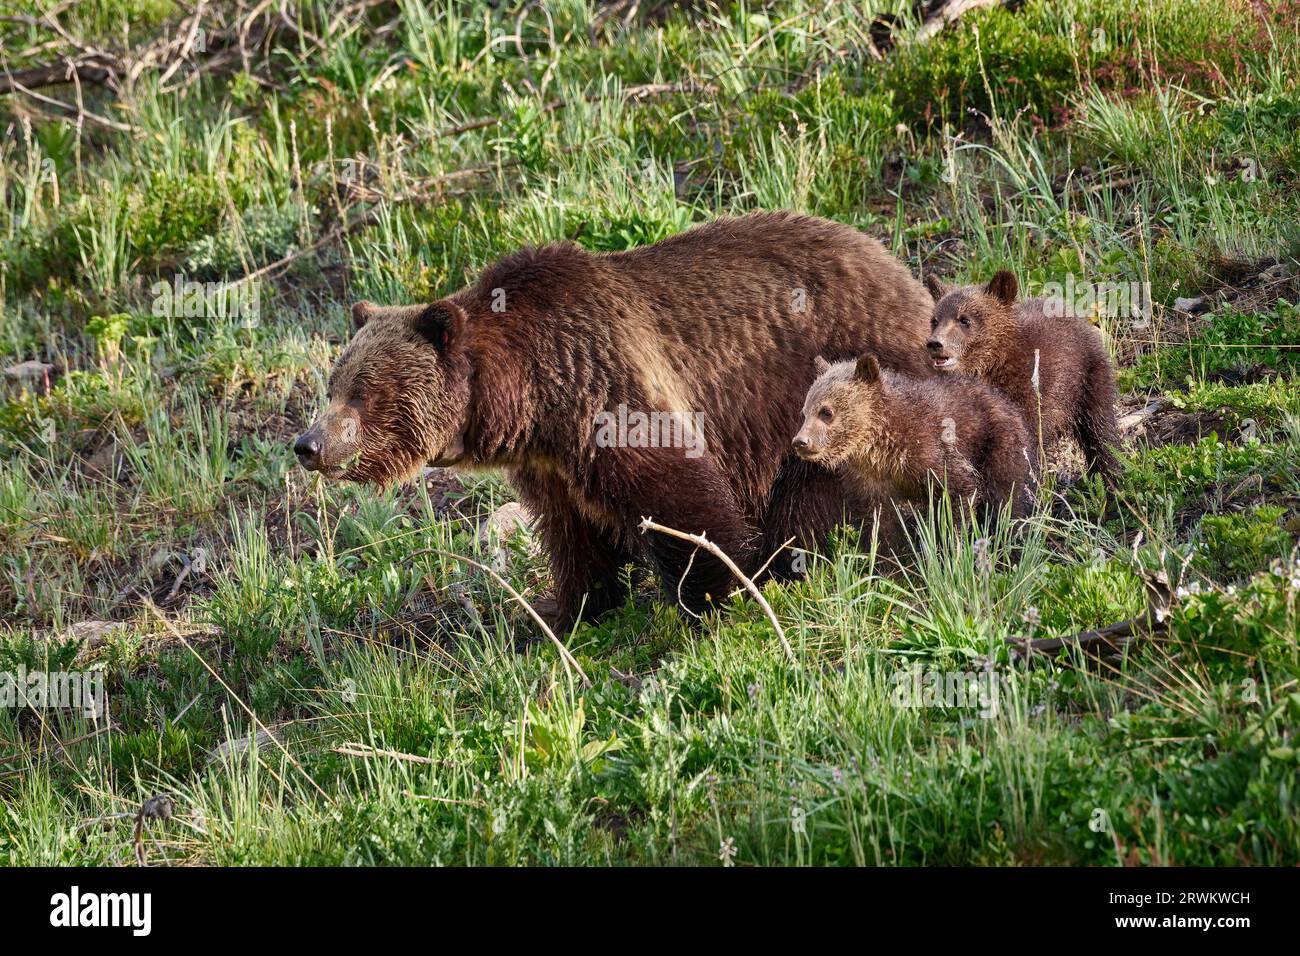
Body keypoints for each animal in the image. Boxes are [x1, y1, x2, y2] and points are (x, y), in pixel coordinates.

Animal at [296, 212, 935, 629]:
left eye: (362, 392)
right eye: (333, 384)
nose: (308, 444)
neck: (527, 393)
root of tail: (909, 281)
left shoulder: (606, 388)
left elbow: (677, 495)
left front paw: (709, 598)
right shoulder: (550, 459)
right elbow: (574, 533)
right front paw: (564, 609)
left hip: (830, 399)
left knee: (816, 500)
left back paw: (792, 565)